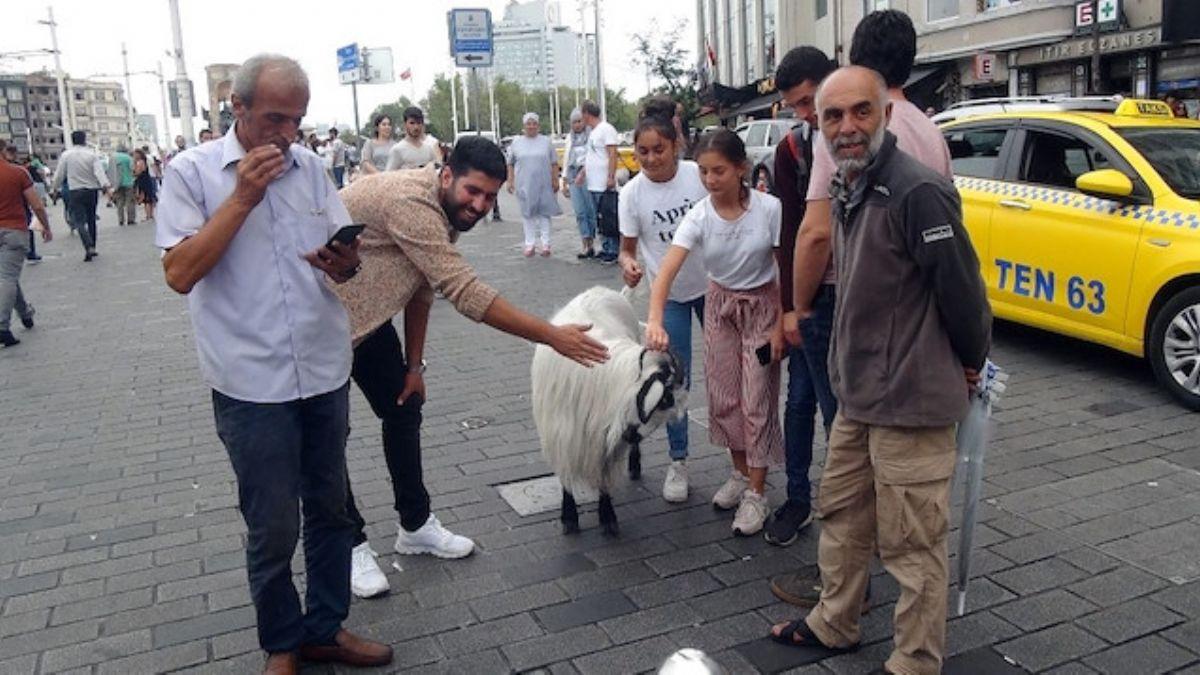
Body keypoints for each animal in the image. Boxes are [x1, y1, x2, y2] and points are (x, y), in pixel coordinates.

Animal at [532, 281, 691, 533]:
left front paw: (607, 517)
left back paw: (634, 466)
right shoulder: (561, 434)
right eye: (665, 400)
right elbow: (565, 476)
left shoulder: (604, 441)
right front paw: (569, 517)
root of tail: (613, 292)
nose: (630, 435)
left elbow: (604, 477)